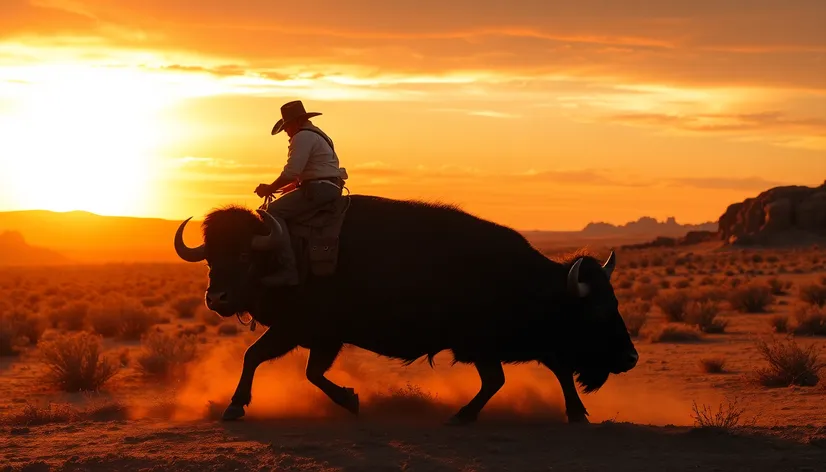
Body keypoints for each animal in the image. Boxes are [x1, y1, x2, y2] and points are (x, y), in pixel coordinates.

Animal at [174, 195, 636, 424]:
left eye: (245, 256)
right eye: (211, 258)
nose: (217, 299)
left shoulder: (313, 335)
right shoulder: (310, 335)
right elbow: (271, 361)